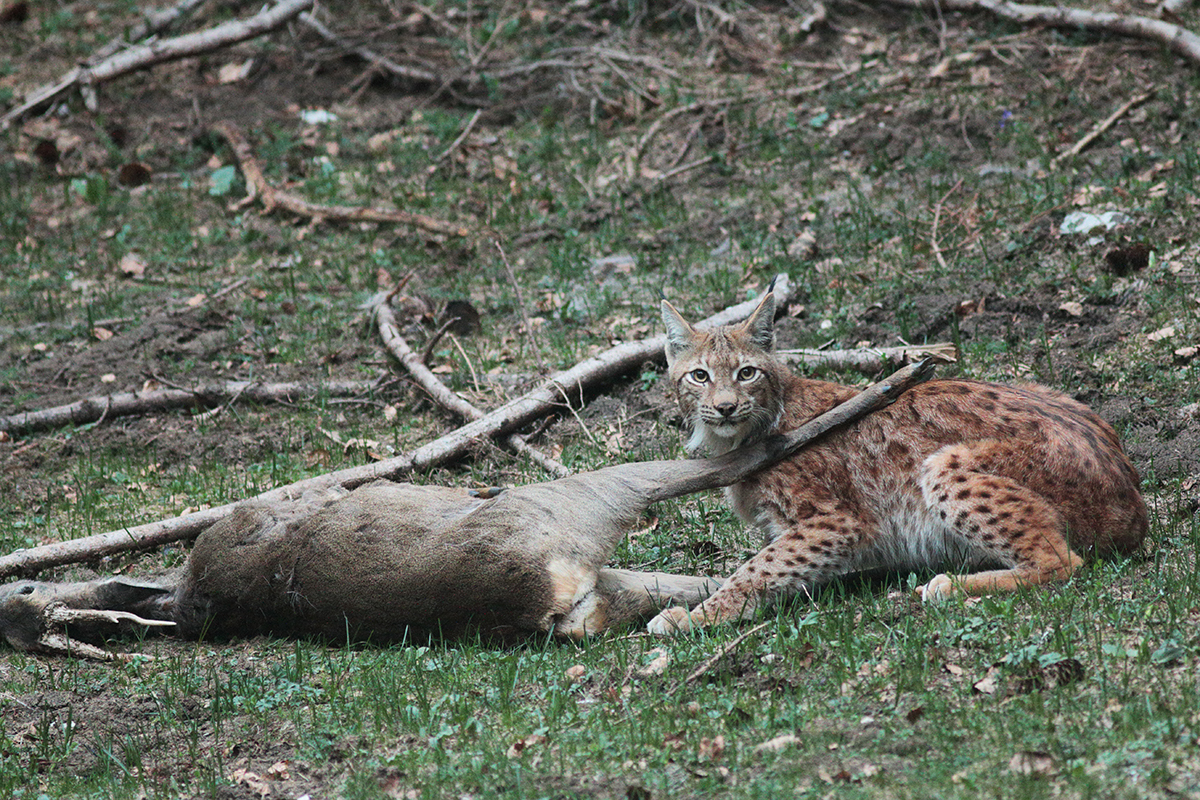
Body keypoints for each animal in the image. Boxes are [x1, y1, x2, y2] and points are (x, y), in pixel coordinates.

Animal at [0, 357, 936, 657]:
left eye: (20, 593)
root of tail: (546, 589)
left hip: (599, 564)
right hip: (583, 497)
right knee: (728, 465)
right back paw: (904, 370)